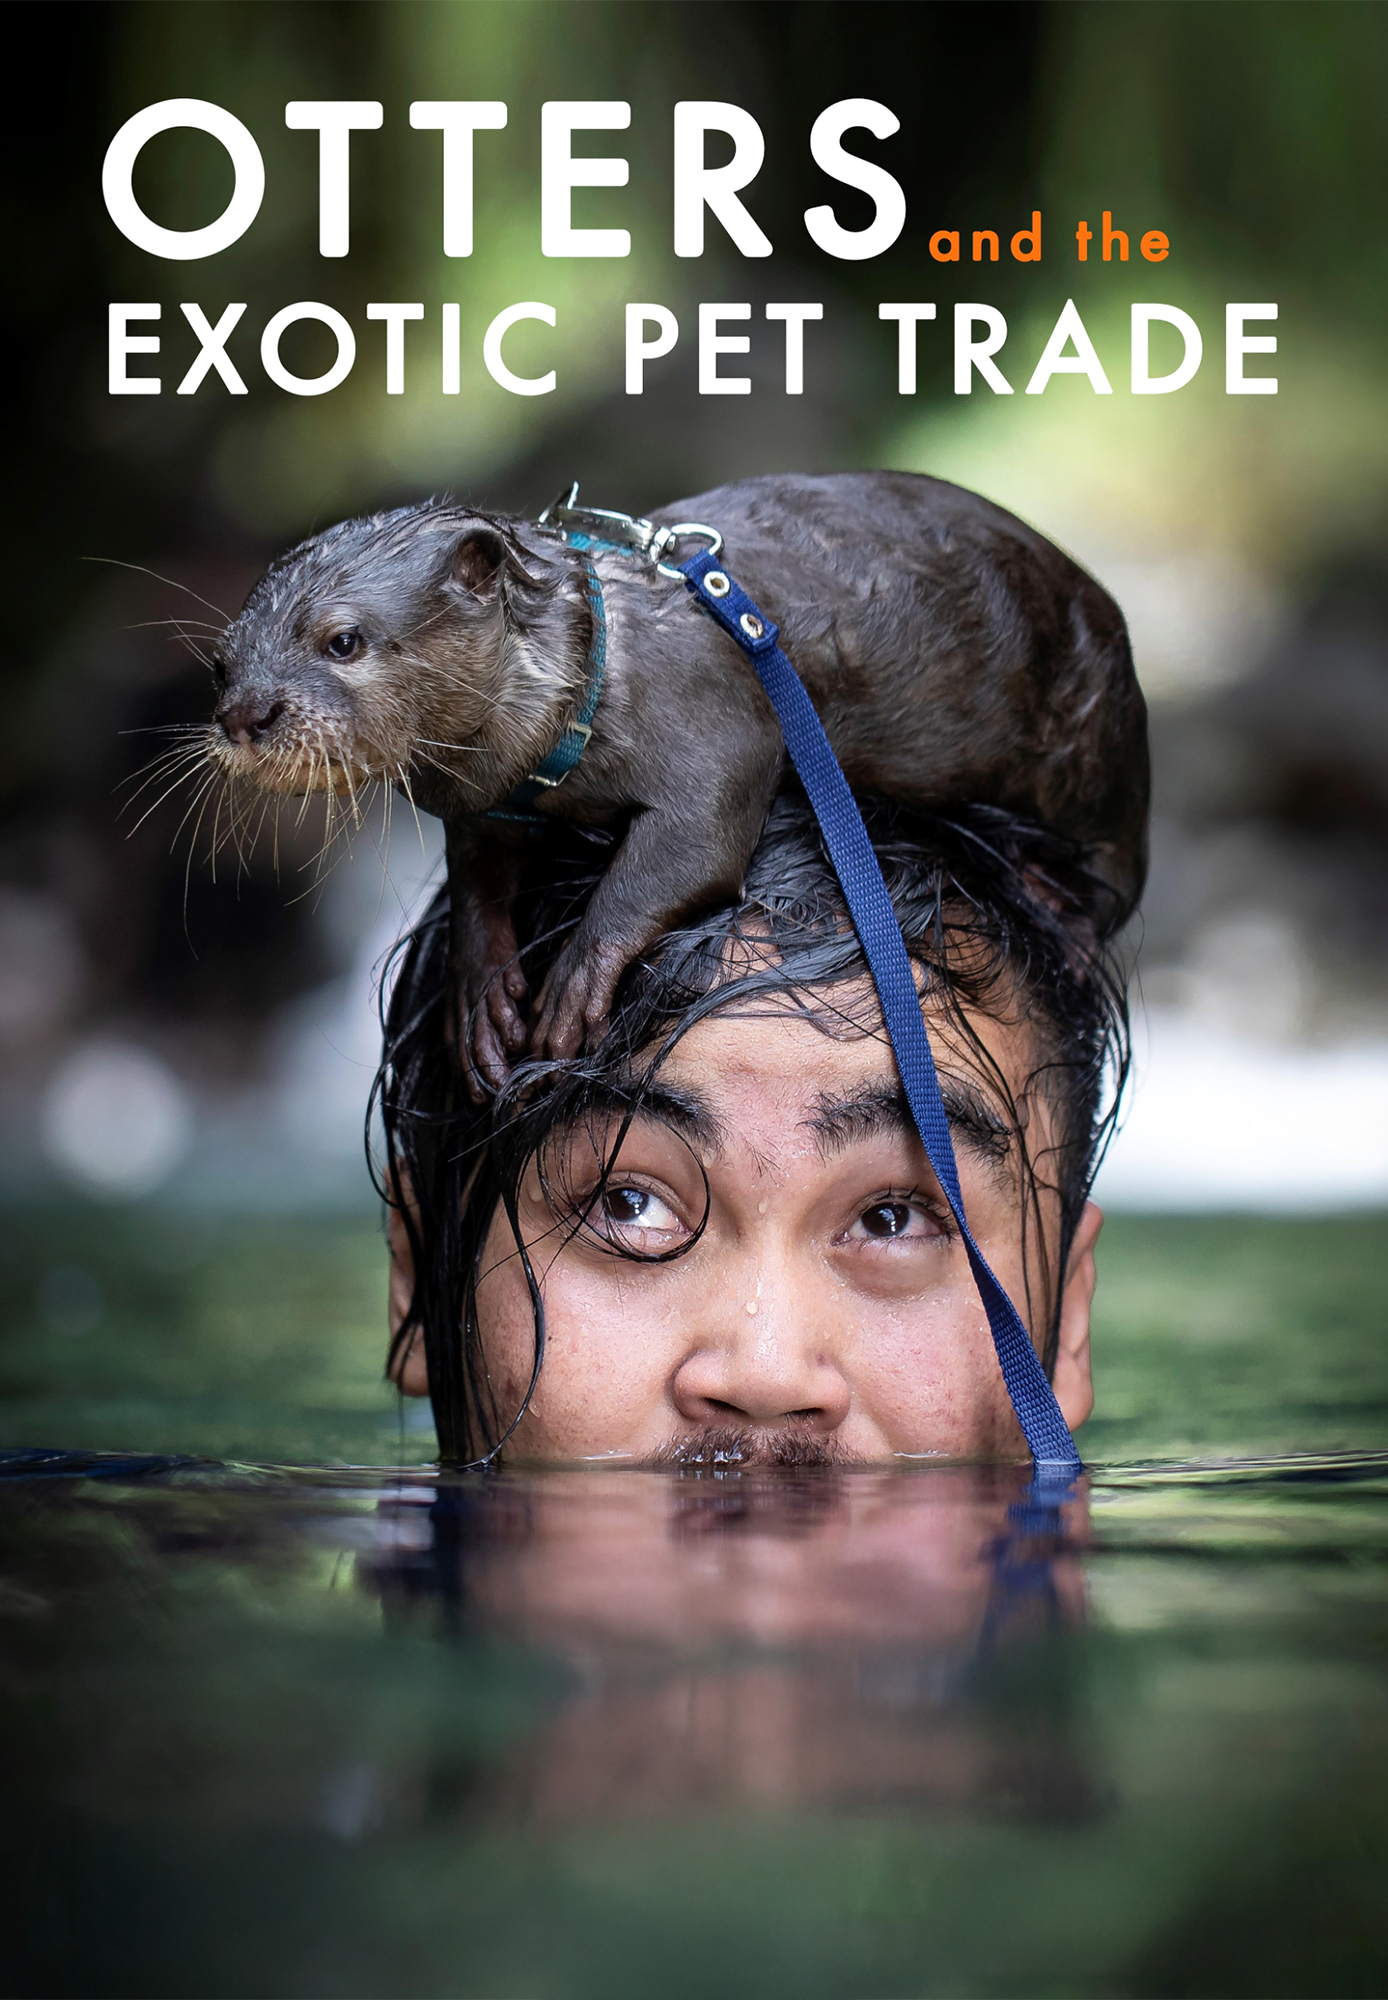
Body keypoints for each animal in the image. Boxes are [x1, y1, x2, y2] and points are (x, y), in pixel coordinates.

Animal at [207, 470, 1148, 1092]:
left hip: (1098, 741)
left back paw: (1059, 906)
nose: (246, 712)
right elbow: (479, 874)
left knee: (1120, 873)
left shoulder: (716, 725)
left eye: (343, 640)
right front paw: (480, 992)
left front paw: (576, 984)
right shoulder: (486, 803)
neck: (589, 680)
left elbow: (698, 841)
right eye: (220, 664)